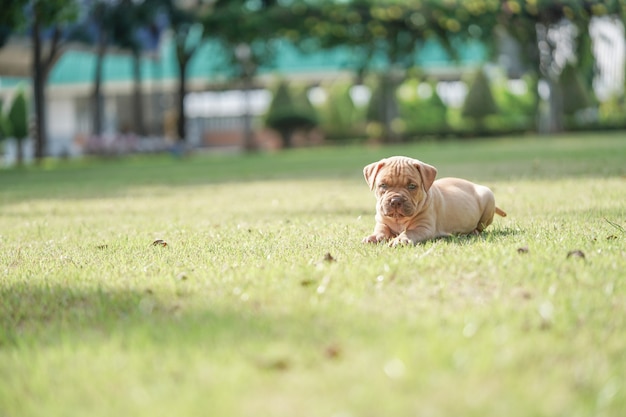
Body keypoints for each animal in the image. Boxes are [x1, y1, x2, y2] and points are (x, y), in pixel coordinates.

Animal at [364, 157, 504, 247]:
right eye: (383, 185)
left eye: (412, 186)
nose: (396, 200)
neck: (399, 219)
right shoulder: (382, 221)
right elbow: (381, 229)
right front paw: (374, 237)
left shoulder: (423, 228)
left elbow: (409, 232)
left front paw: (400, 240)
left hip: (488, 199)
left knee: (480, 227)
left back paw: (473, 232)